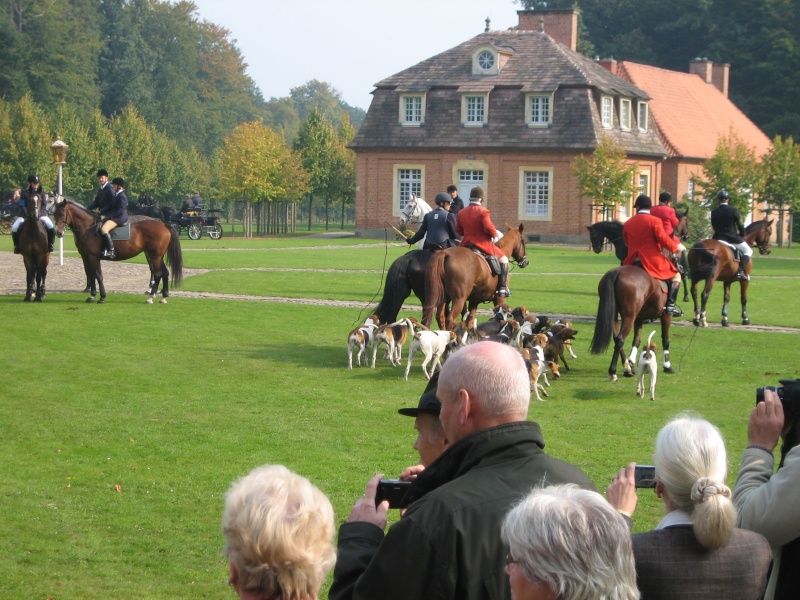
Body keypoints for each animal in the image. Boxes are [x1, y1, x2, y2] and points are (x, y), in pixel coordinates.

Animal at [54, 198, 182, 304]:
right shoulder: (86, 256)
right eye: (54, 214)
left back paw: (150, 297)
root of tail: (163, 224)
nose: (58, 233)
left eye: (62, 214)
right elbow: (91, 273)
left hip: (154, 256)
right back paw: (163, 297)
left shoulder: (93, 257)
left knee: (158, 273)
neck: (88, 229)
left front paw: (102, 297)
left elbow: (98, 275)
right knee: (165, 272)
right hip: (157, 256)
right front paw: (91, 295)